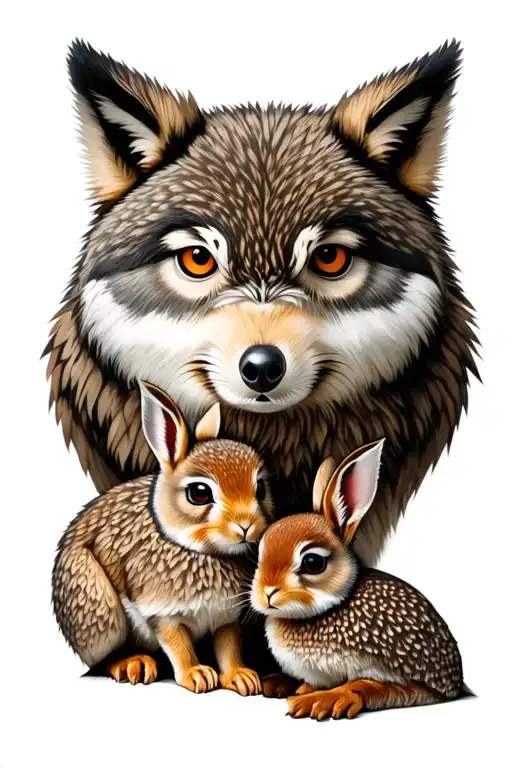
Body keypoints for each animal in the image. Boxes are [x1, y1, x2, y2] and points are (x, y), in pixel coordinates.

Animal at [52, 381, 273, 694]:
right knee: (104, 655)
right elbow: (178, 646)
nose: (246, 527)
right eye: (199, 493)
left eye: (260, 487)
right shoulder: (162, 612)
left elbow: (228, 647)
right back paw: (133, 664)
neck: (198, 549)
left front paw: (242, 678)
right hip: (98, 608)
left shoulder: (224, 618)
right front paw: (197, 676)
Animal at [251, 439, 464, 719]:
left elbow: (367, 685)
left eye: (313, 562)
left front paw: (315, 697)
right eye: (260, 553)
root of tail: (456, 683)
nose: (267, 593)